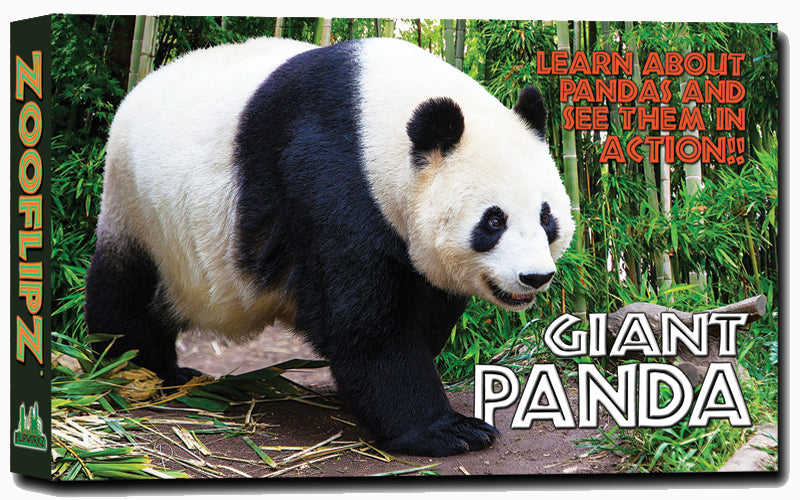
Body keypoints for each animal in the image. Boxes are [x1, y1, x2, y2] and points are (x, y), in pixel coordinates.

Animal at [84, 37, 575, 457]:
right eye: (494, 221)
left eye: (546, 216)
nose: (534, 277)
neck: (376, 115)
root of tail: (137, 89)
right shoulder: (327, 175)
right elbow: (362, 321)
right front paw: (447, 430)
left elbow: (427, 303)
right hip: (140, 209)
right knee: (125, 292)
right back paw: (139, 368)